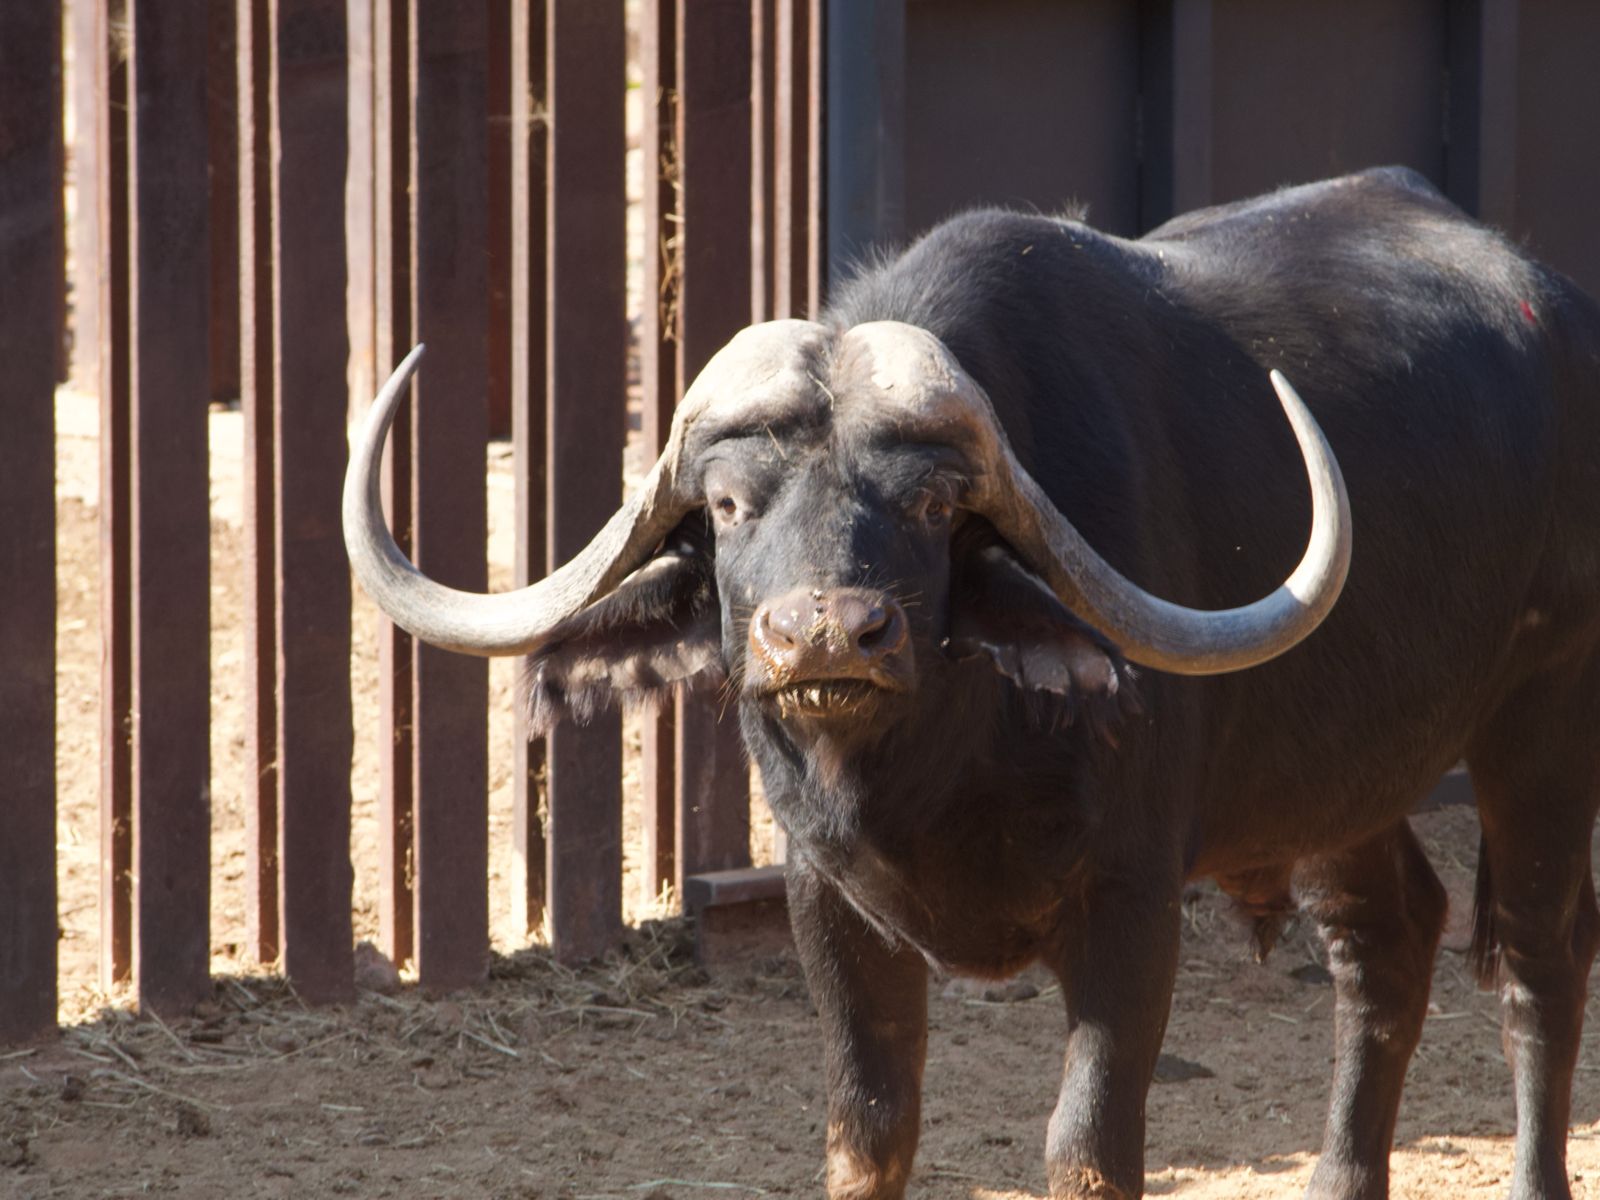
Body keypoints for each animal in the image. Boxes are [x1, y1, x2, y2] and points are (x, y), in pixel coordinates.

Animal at [344, 167, 1600, 1200]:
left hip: (1541, 722)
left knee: (1538, 955)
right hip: (1343, 780)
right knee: (1385, 940)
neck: (936, 771)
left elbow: (1087, 1149)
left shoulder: (1131, 904)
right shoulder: (829, 906)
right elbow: (870, 1132)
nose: (828, 636)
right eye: (730, 504)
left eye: (936, 504)